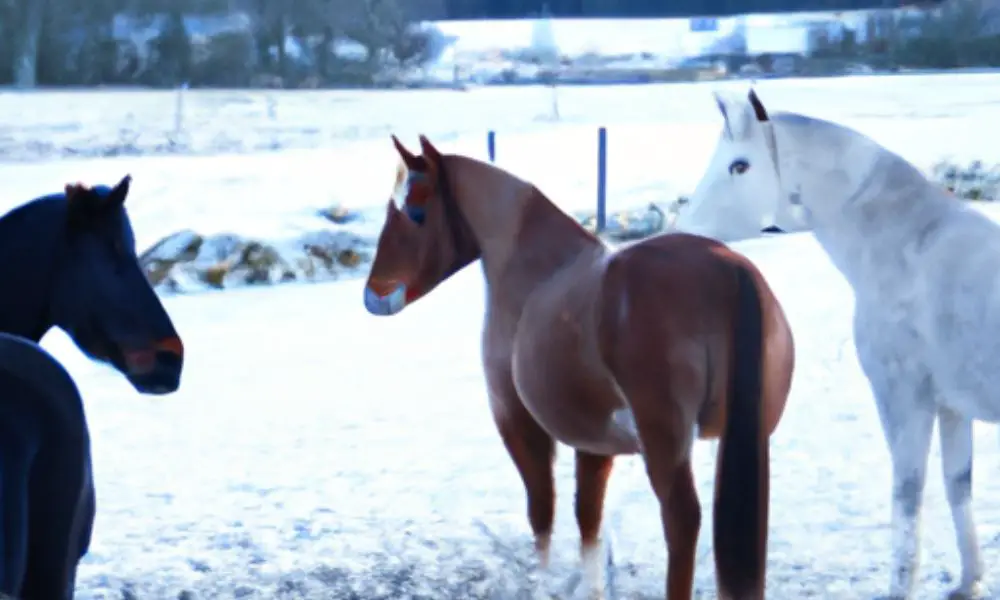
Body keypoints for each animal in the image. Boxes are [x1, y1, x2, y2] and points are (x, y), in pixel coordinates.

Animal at [362, 135, 795, 599]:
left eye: (416, 212)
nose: (374, 294)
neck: (532, 265)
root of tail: (729, 272)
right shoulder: (594, 443)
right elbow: (588, 522)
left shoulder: (517, 421)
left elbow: (543, 516)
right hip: (746, 437)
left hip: (667, 443)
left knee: (682, 521)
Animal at [675, 88, 997, 599]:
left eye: (739, 165)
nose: (684, 231)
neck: (909, 247)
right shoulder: (951, 406)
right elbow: (957, 484)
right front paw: (968, 581)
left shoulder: (905, 401)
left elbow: (908, 500)